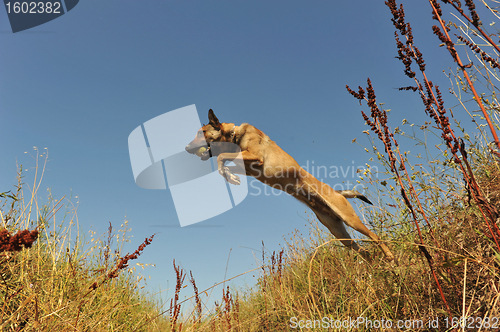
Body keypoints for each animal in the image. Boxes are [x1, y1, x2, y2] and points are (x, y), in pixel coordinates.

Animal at [185, 110, 394, 260]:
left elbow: (221, 156)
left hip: (350, 219)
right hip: (339, 233)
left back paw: (390, 258)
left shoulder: (255, 157)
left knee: (375, 237)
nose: (186, 148)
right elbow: (223, 162)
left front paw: (227, 173)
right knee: (364, 252)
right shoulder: (245, 164)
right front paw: (229, 176)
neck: (235, 135)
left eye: (201, 133)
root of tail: (337, 192)